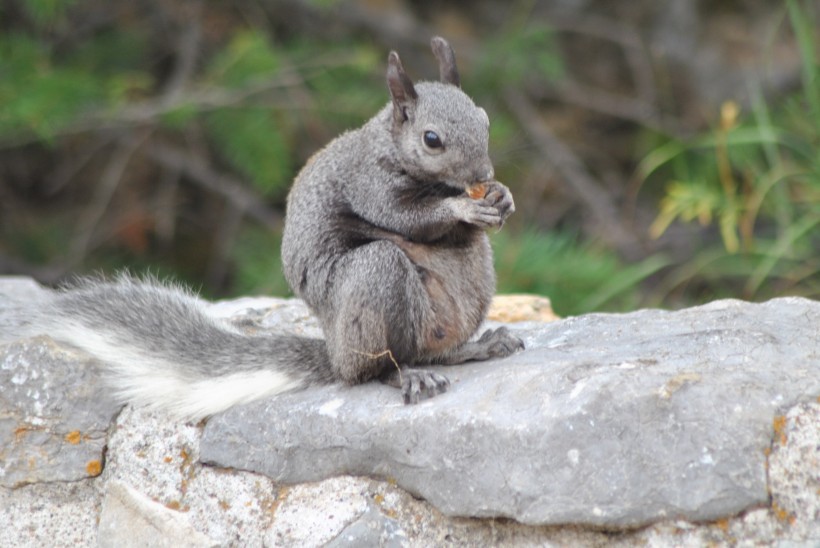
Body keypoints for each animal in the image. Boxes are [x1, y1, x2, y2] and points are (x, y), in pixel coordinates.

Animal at [0, 37, 524, 420]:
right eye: (431, 139)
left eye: (484, 119)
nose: (482, 174)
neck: (392, 149)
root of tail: (334, 352)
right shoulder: (368, 183)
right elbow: (405, 218)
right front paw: (463, 208)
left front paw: (501, 197)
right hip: (374, 282)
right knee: (375, 368)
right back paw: (405, 375)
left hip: (471, 285)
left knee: (437, 351)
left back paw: (478, 346)